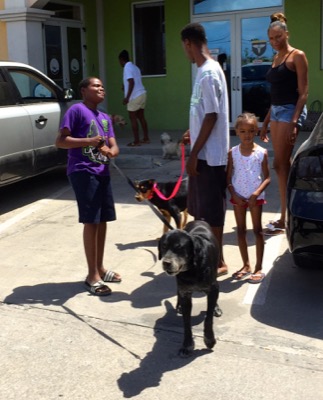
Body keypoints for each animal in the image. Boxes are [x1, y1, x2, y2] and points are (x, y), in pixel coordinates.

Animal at [159, 220, 221, 358]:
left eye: (179, 248)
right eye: (163, 246)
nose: (166, 263)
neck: (192, 268)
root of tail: (198, 220)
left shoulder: (212, 288)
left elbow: (208, 318)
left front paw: (209, 339)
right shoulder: (185, 292)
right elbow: (186, 323)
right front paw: (187, 345)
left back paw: (216, 307)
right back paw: (179, 306)